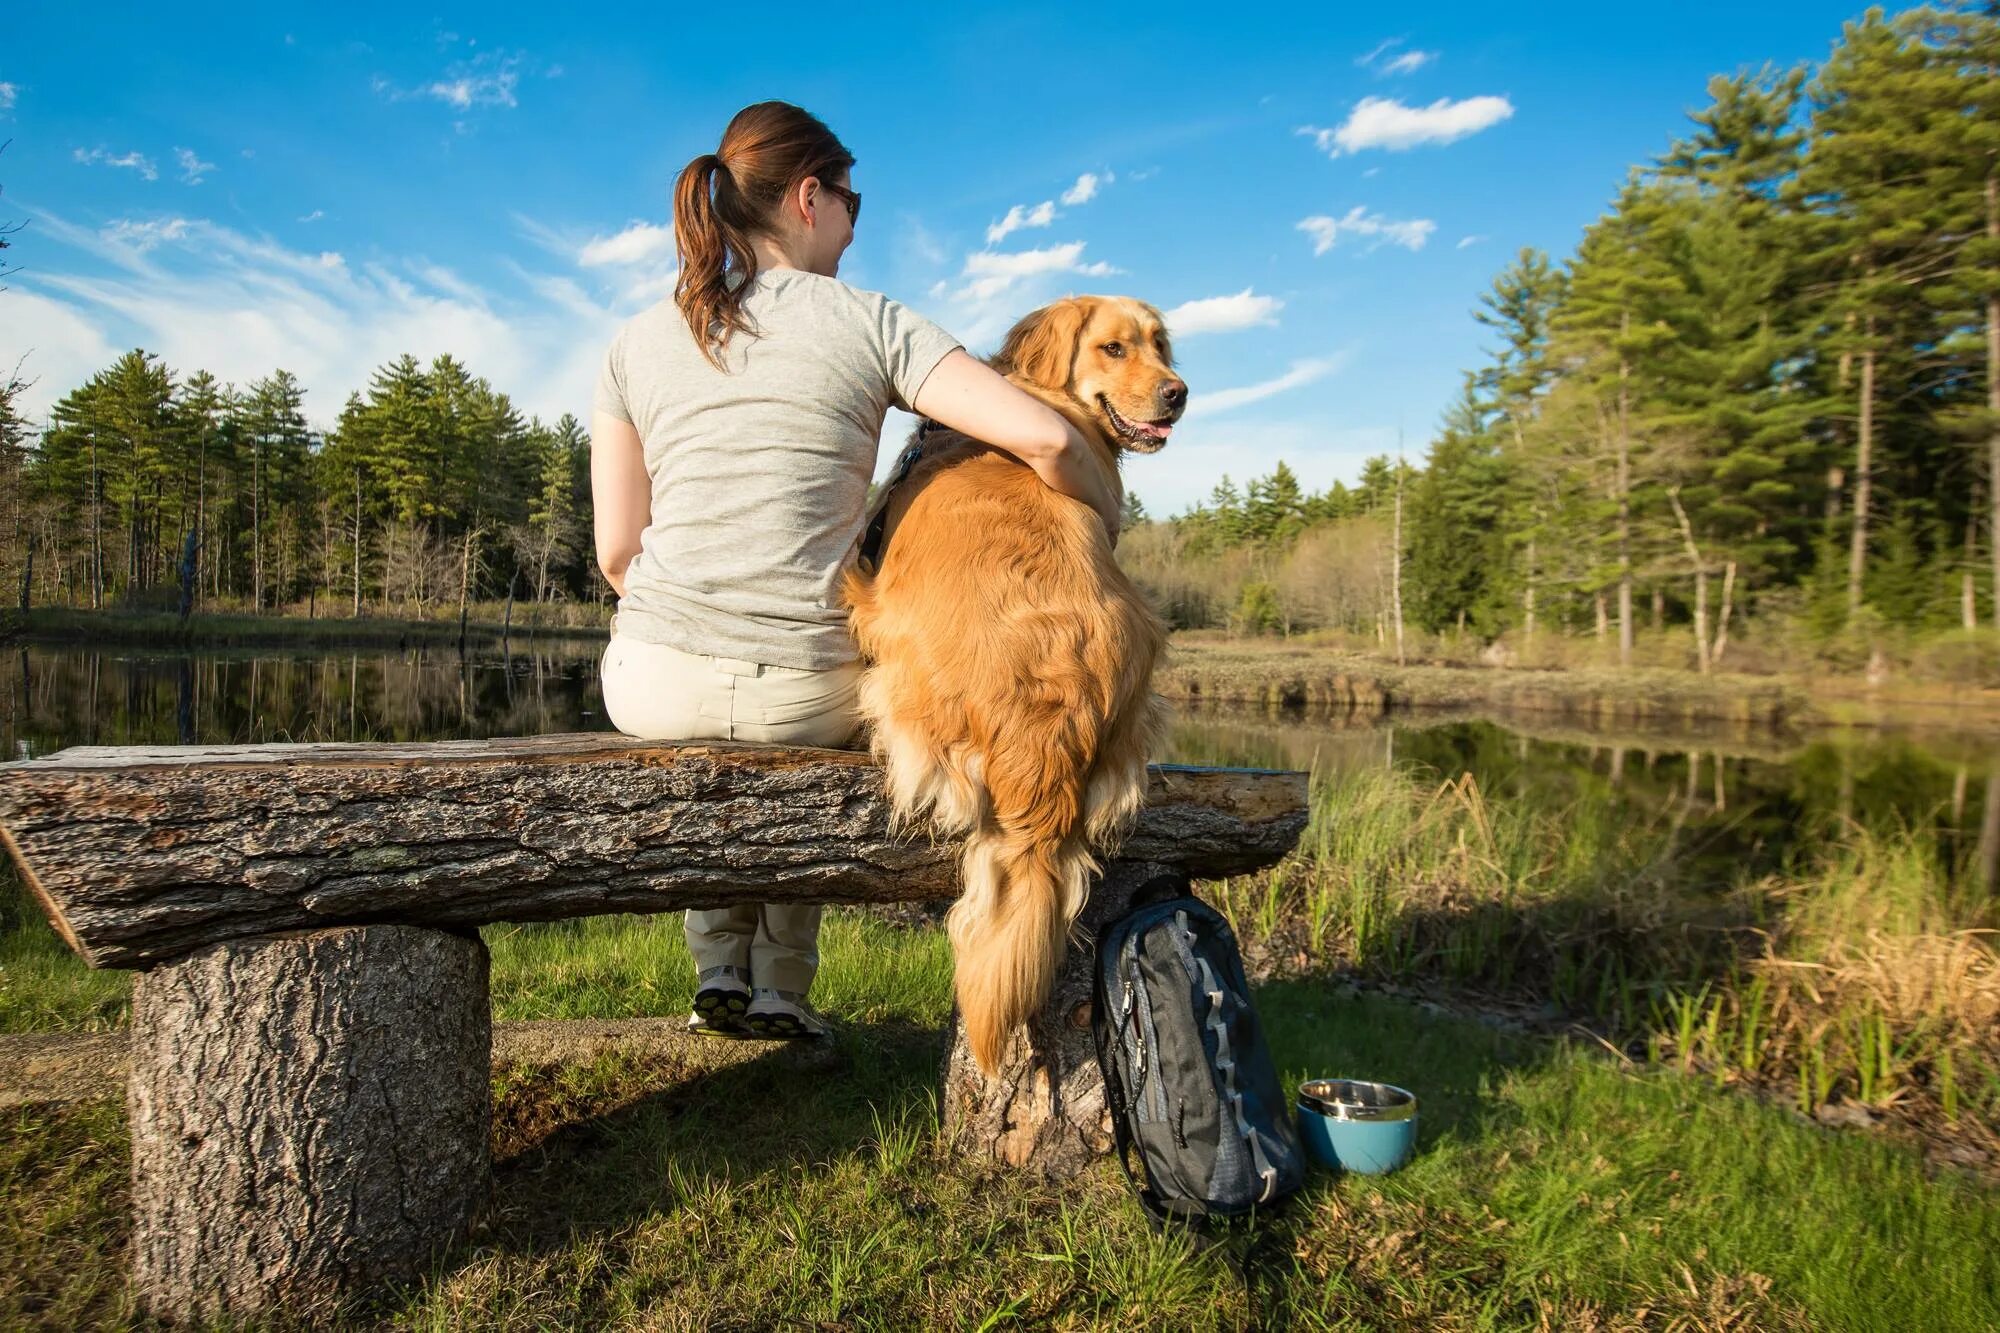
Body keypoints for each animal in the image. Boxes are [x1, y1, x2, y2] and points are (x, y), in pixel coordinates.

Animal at [832, 294, 1176, 1072]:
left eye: (1160, 344)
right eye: (1115, 347)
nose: (1179, 392)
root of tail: (1046, 727)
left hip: (878, 630)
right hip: (1144, 637)